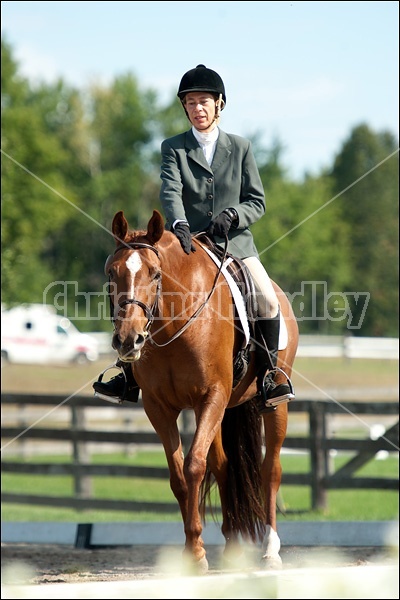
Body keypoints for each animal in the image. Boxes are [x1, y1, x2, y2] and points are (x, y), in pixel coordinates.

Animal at [104, 210, 298, 572]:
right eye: (112, 272)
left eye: (155, 274)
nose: (128, 340)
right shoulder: (159, 407)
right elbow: (179, 476)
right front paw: (192, 549)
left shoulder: (212, 396)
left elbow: (194, 466)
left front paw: (196, 552)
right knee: (223, 464)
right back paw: (233, 545)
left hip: (272, 404)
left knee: (271, 470)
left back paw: (270, 550)